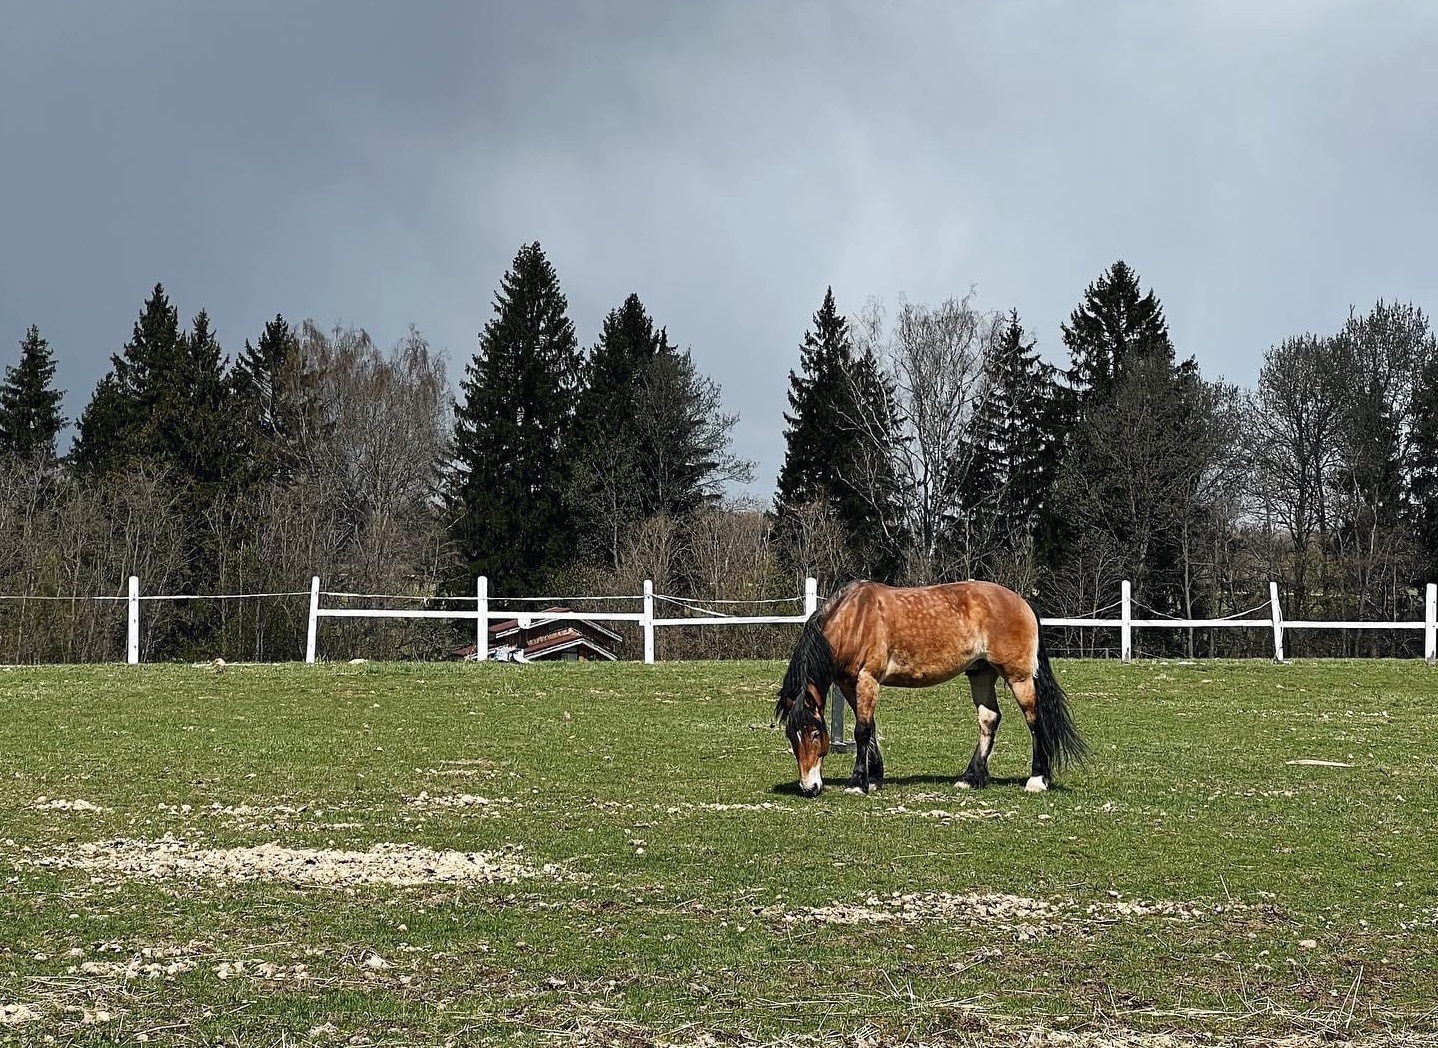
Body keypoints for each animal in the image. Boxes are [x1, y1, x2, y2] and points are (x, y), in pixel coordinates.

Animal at [770, 575, 1081, 799]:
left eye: (814, 734)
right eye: (790, 736)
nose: (808, 788)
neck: (854, 620)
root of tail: (1022, 602)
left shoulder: (867, 679)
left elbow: (862, 731)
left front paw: (858, 783)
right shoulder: (848, 684)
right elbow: (869, 728)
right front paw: (875, 777)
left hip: (1019, 677)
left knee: (1034, 720)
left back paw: (1037, 779)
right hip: (981, 674)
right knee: (989, 719)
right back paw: (970, 778)